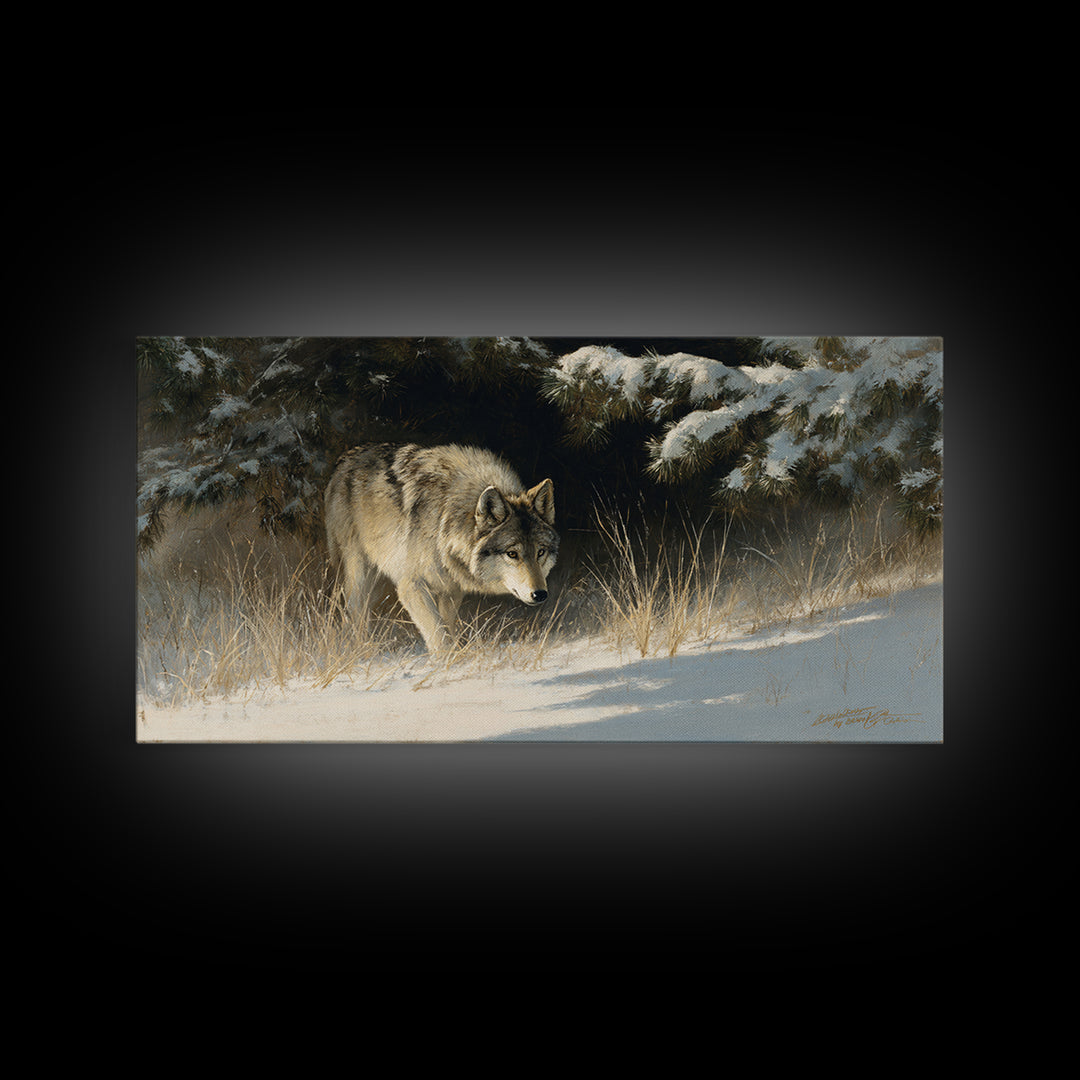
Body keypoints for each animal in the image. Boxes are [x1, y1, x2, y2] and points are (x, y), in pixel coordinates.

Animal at [324, 442, 558, 655]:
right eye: (512, 554)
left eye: (540, 552)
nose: (540, 594)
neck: (445, 522)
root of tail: (347, 456)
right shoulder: (411, 586)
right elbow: (438, 633)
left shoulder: (450, 589)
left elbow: (447, 627)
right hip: (360, 573)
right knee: (354, 610)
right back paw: (360, 649)